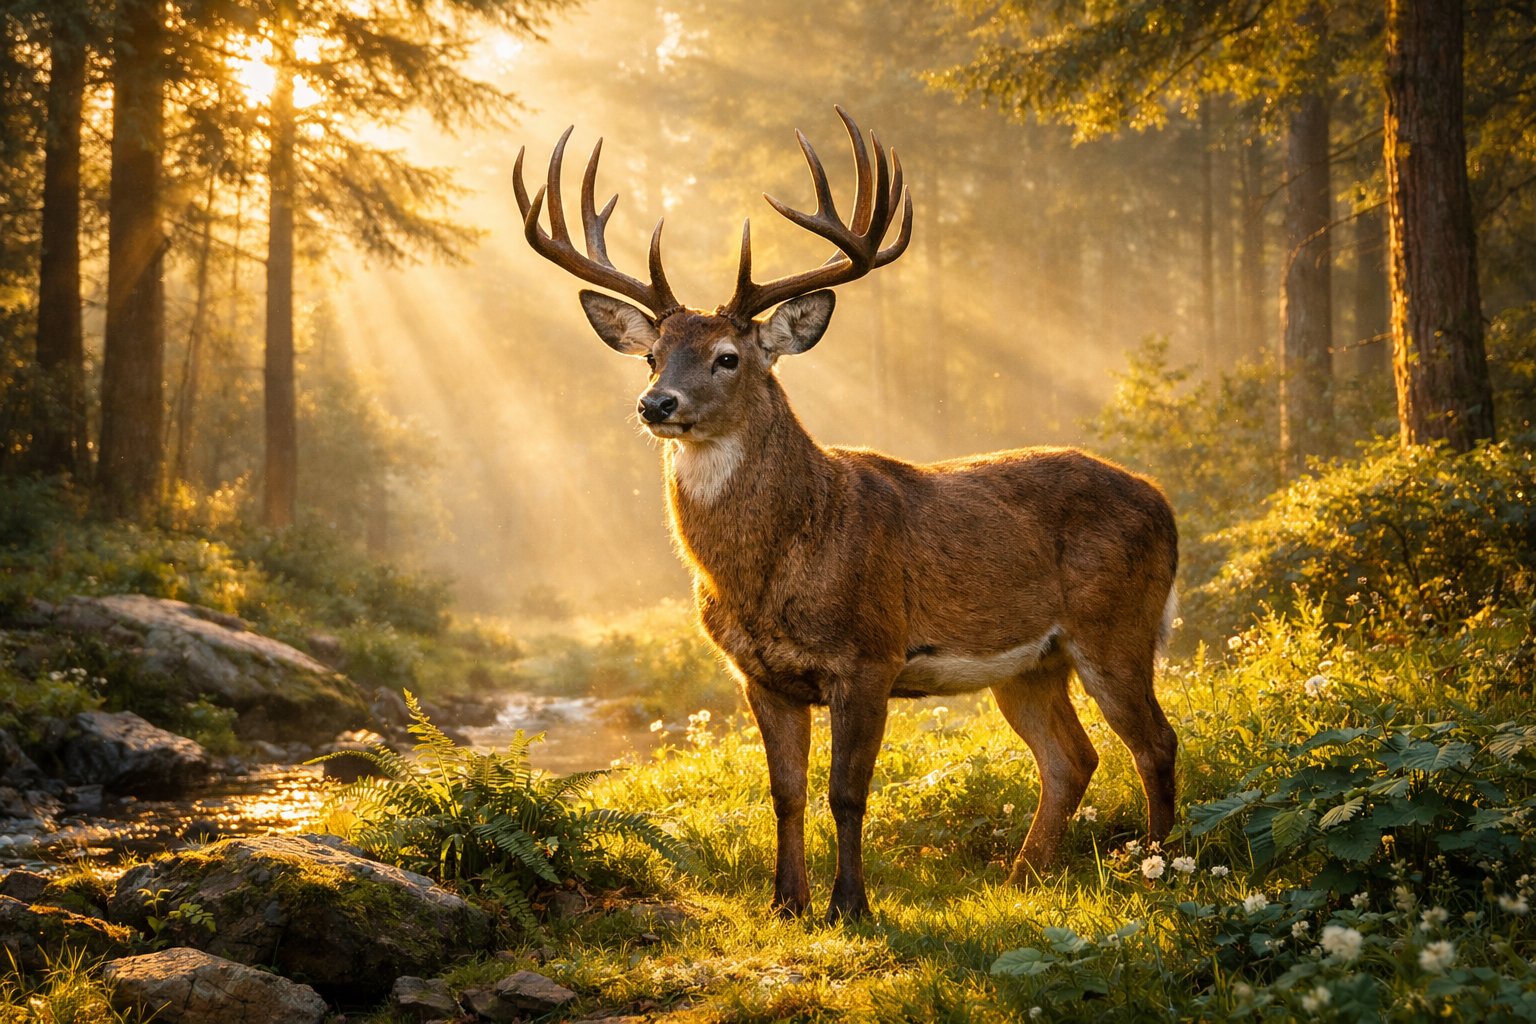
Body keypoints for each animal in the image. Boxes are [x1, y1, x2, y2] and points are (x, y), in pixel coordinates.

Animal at [514, 107, 1180, 922]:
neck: (776, 564)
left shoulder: (870, 655)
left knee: (1153, 742)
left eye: (729, 356)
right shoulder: (759, 674)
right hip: (1031, 663)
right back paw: (1024, 877)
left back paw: (1156, 866)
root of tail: (1162, 501)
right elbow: (786, 792)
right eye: (651, 356)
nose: (655, 404)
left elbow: (848, 792)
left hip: (1117, 623)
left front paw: (851, 906)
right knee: (1071, 757)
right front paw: (786, 904)